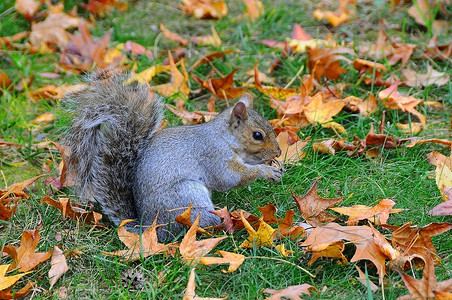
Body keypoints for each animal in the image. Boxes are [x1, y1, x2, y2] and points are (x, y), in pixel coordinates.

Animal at [64, 71, 282, 240]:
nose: (278, 151)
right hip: (188, 199)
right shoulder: (213, 155)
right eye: (257, 135)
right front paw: (266, 171)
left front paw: (276, 165)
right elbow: (229, 178)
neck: (224, 137)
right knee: (203, 225)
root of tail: (151, 228)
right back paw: (228, 222)